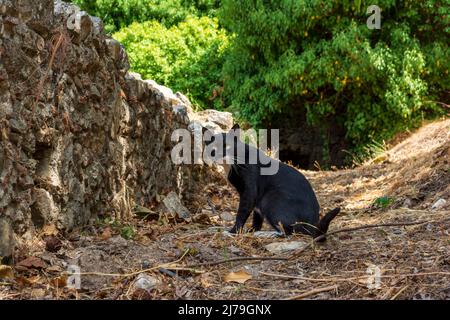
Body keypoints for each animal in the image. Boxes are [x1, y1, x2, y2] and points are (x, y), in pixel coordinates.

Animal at [202, 124, 340, 239]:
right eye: (214, 148)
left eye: (228, 146)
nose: (220, 155)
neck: (231, 165)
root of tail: (311, 224)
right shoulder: (255, 199)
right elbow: (257, 217)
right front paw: (251, 230)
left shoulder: (249, 192)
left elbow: (241, 213)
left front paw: (233, 232)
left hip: (270, 198)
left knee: (290, 231)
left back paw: (266, 234)